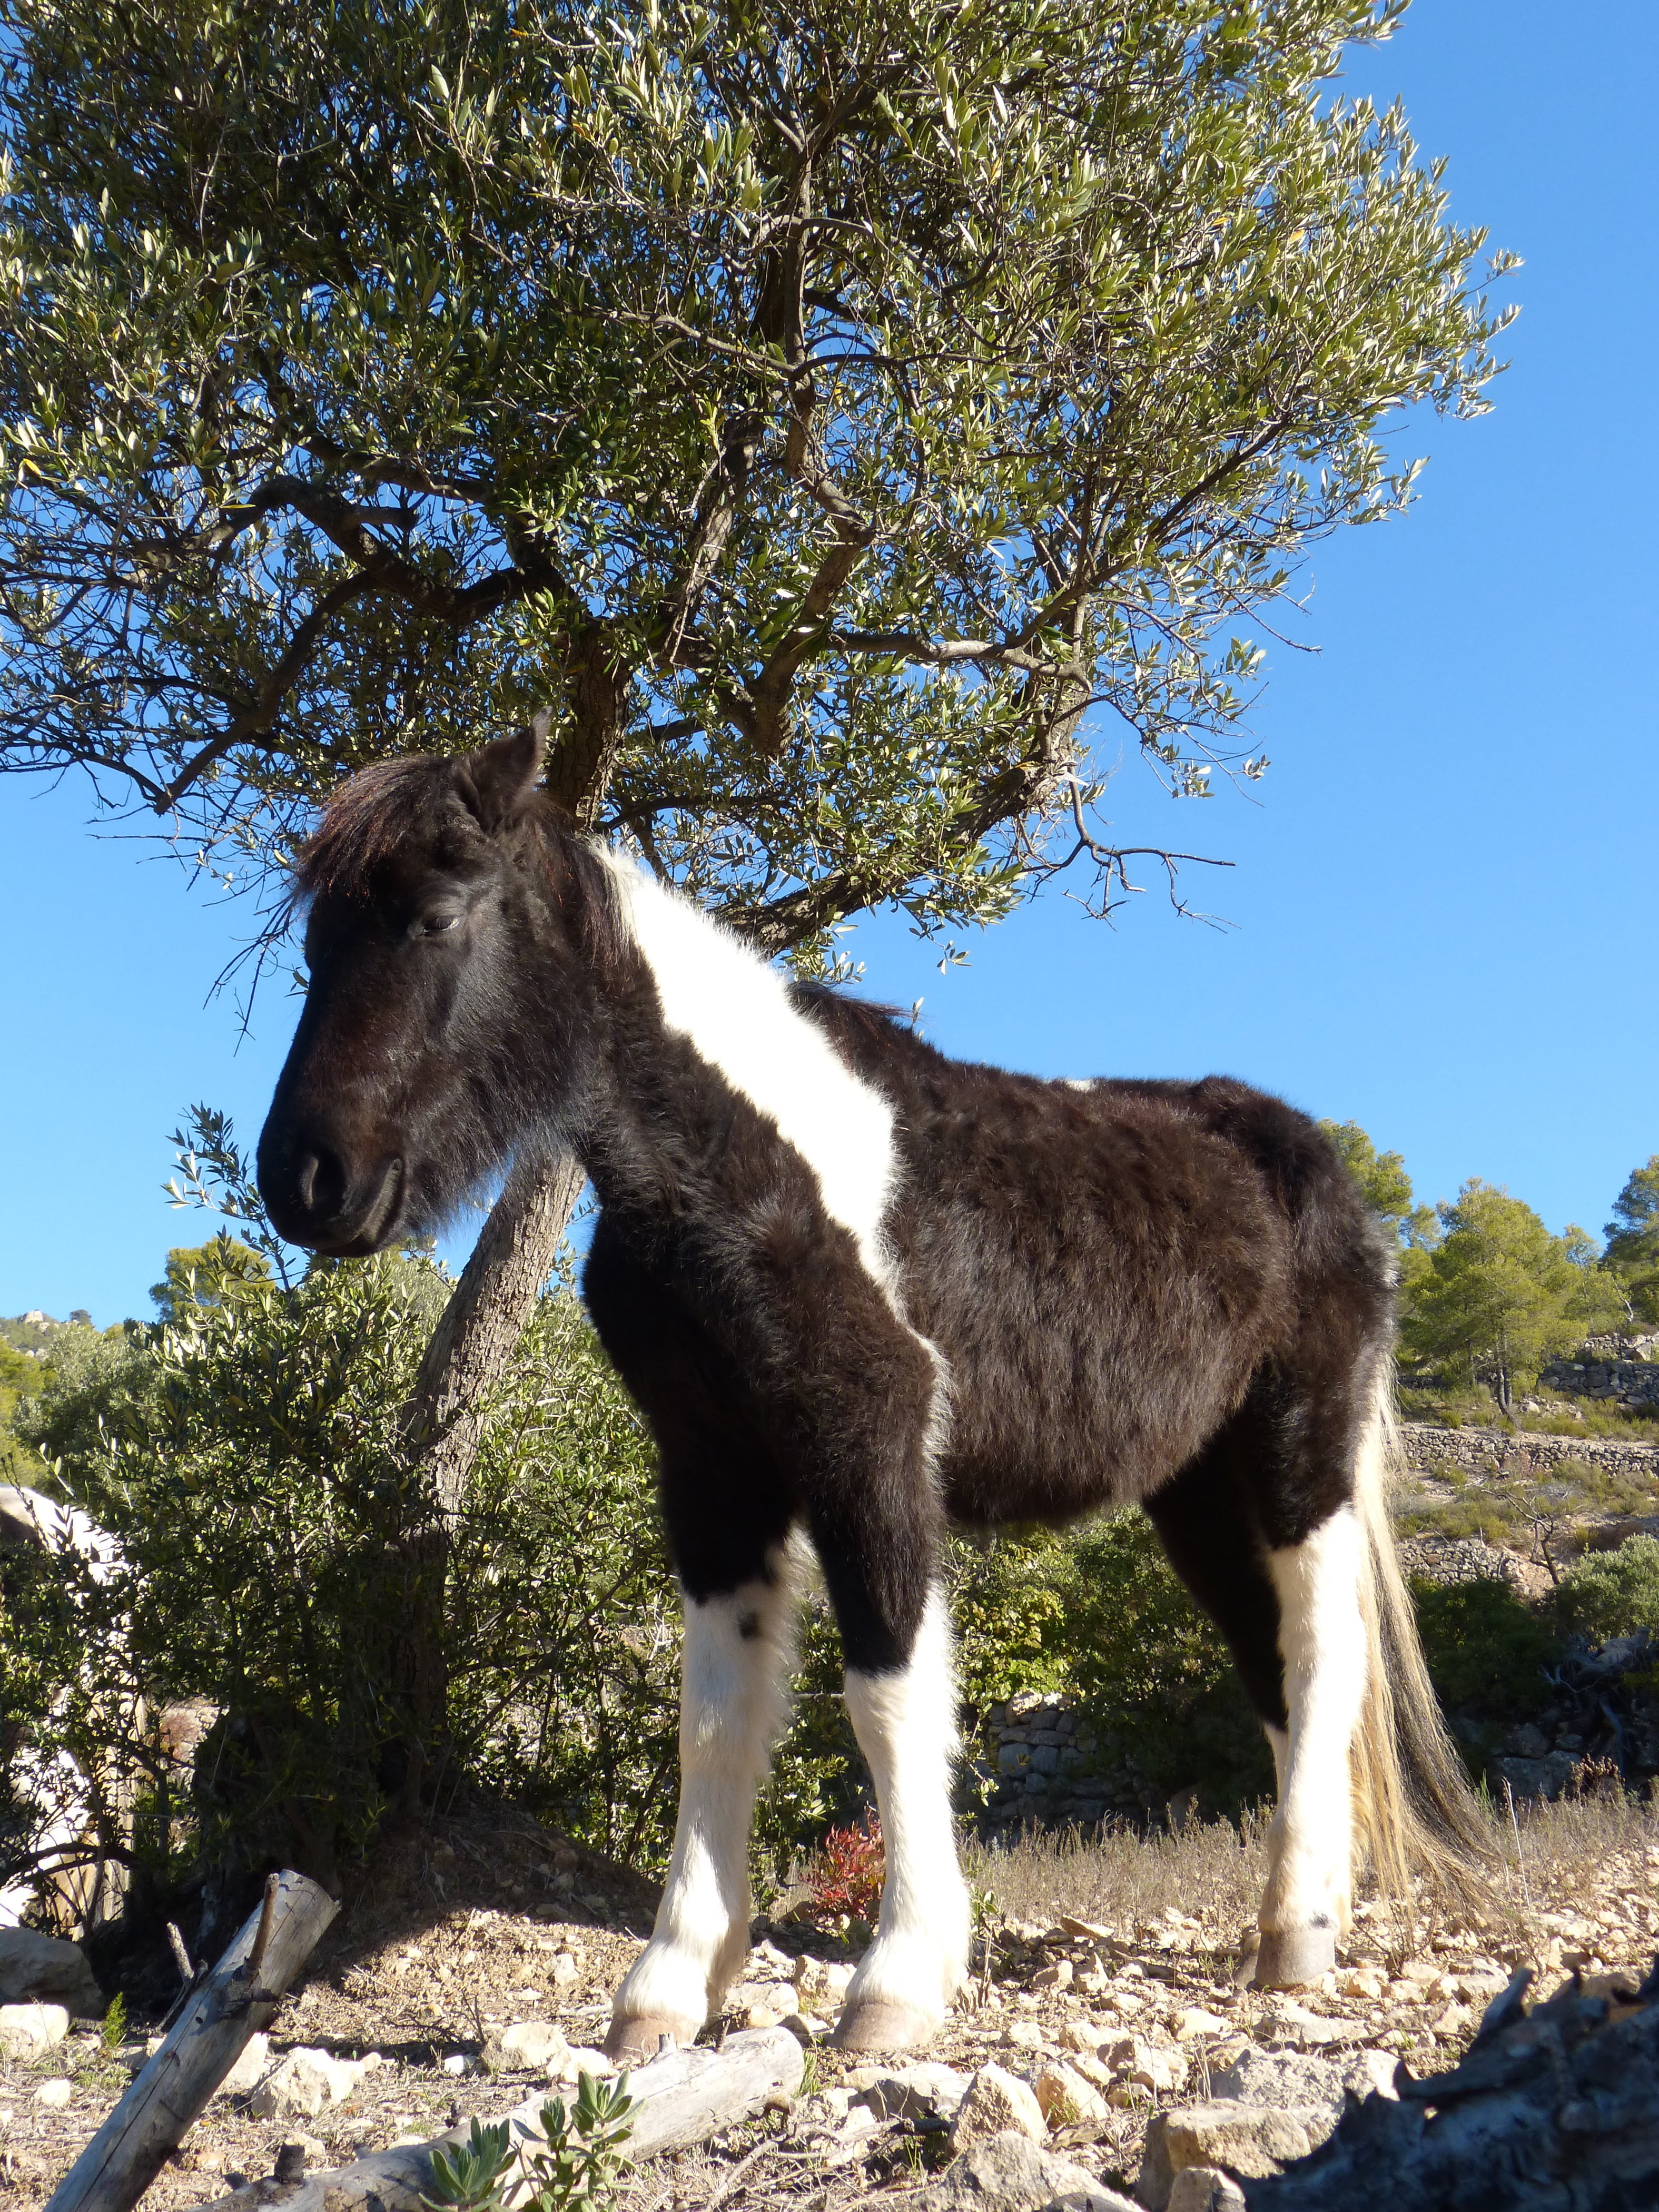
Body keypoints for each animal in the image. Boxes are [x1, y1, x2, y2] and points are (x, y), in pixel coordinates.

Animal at [257, 723, 1483, 2059]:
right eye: (315, 944)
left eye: (434, 916)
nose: (305, 1181)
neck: (747, 1169)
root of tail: (1312, 1162)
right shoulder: (715, 1478)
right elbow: (716, 1721)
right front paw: (669, 1988)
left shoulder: (870, 1450)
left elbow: (889, 1700)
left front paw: (899, 1979)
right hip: (1197, 1500)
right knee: (1272, 1675)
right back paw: (1299, 1917)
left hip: (1298, 1466)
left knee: (1320, 1660)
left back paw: (1299, 1935)